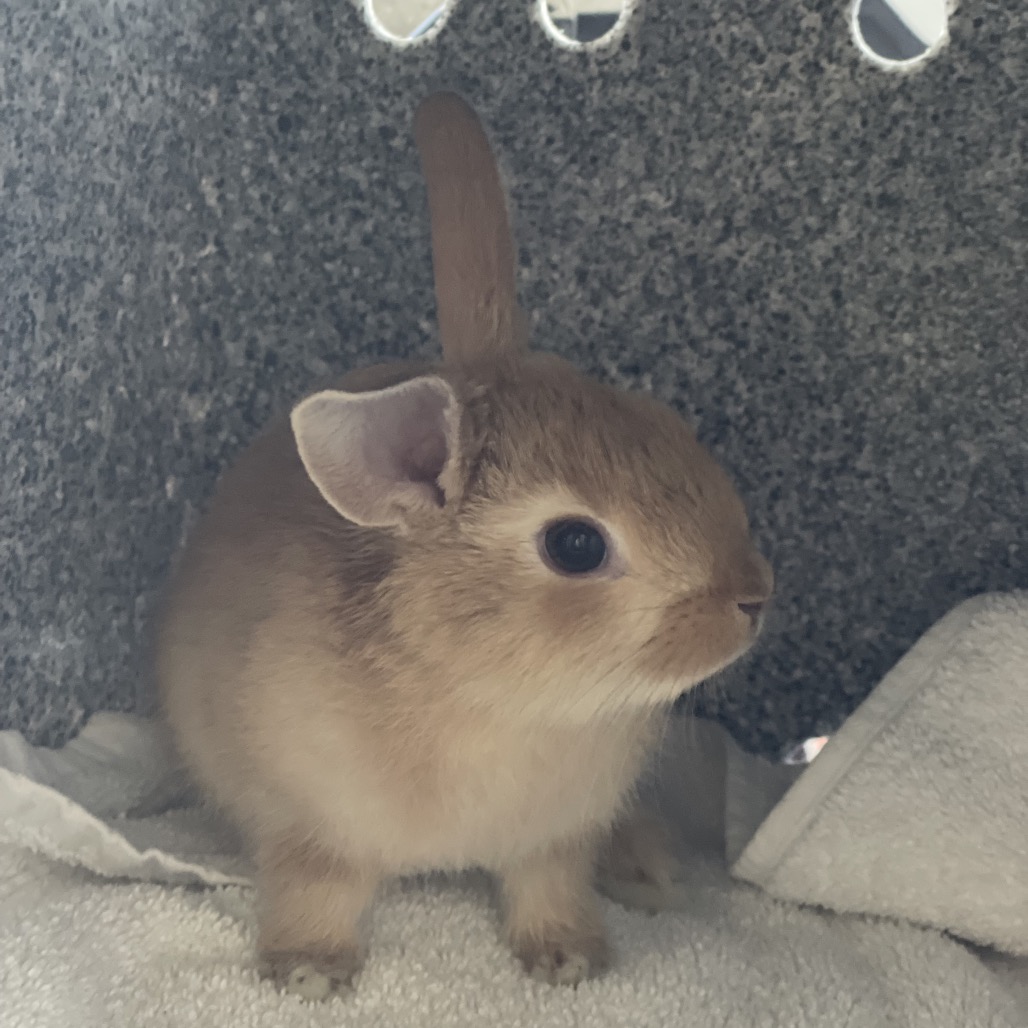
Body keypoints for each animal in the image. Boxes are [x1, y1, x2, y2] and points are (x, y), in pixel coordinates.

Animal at [155, 90, 773, 1001]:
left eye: (671, 428)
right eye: (576, 545)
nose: (752, 598)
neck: (487, 691)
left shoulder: (553, 840)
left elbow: (549, 885)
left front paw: (569, 961)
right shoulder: (311, 829)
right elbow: (315, 889)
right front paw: (308, 973)